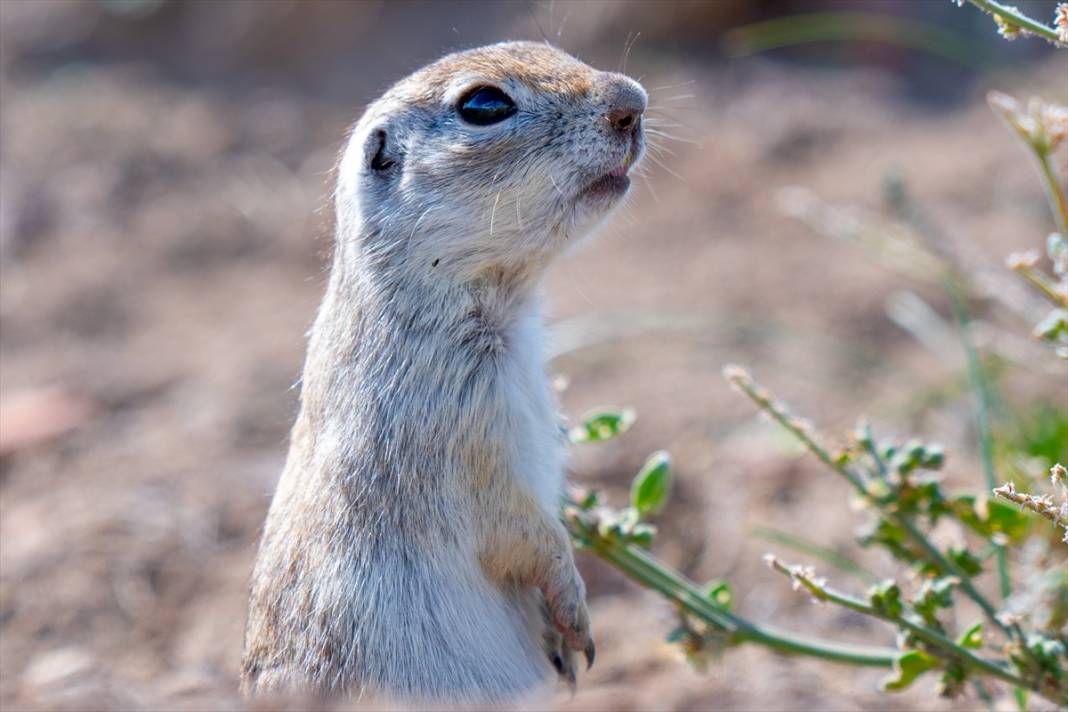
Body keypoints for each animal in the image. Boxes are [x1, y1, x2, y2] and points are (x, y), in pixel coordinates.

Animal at [242, 41, 640, 704]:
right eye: (483, 104)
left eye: (556, 50)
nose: (633, 102)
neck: (503, 308)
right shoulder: (461, 431)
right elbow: (522, 531)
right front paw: (577, 618)